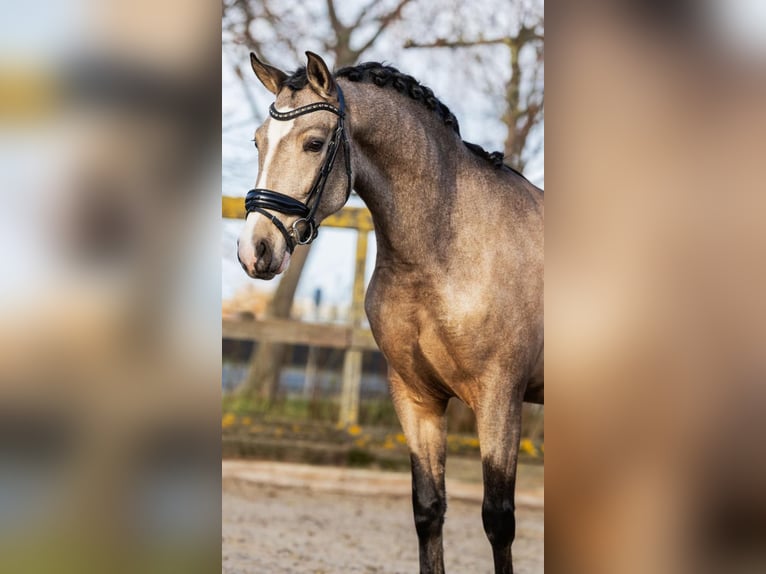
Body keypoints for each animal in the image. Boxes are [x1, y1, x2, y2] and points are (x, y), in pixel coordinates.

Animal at [237, 51, 544, 572]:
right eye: (258, 141)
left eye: (313, 143)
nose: (254, 250)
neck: (445, 248)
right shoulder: (415, 397)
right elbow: (429, 510)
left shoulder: (500, 398)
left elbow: (499, 521)